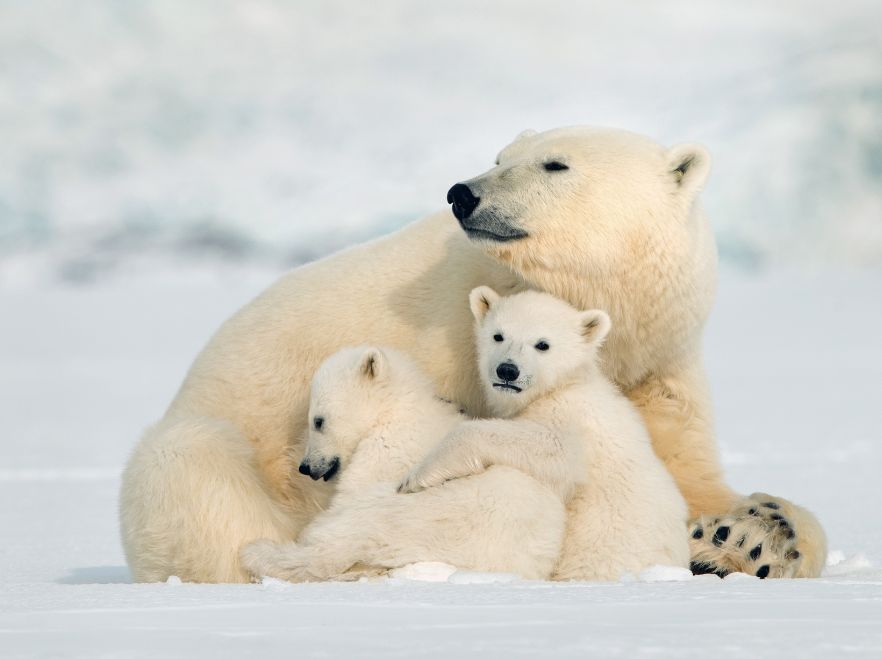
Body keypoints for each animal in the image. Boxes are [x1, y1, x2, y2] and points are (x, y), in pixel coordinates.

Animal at [399, 287, 690, 580]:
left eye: (542, 344)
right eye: (498, 335)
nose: (507, 370)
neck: (562, 385)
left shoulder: (572, 420)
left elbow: (553, 448)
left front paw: (415, 477)